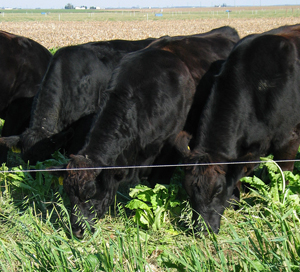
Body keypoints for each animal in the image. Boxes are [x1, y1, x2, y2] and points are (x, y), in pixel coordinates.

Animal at [176, 23, 300, 234]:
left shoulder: (288, 139)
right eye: (188, 189)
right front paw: (235, 201)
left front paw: (282, 205)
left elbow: (284, 176)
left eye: (217, 189)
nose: (203, 229)